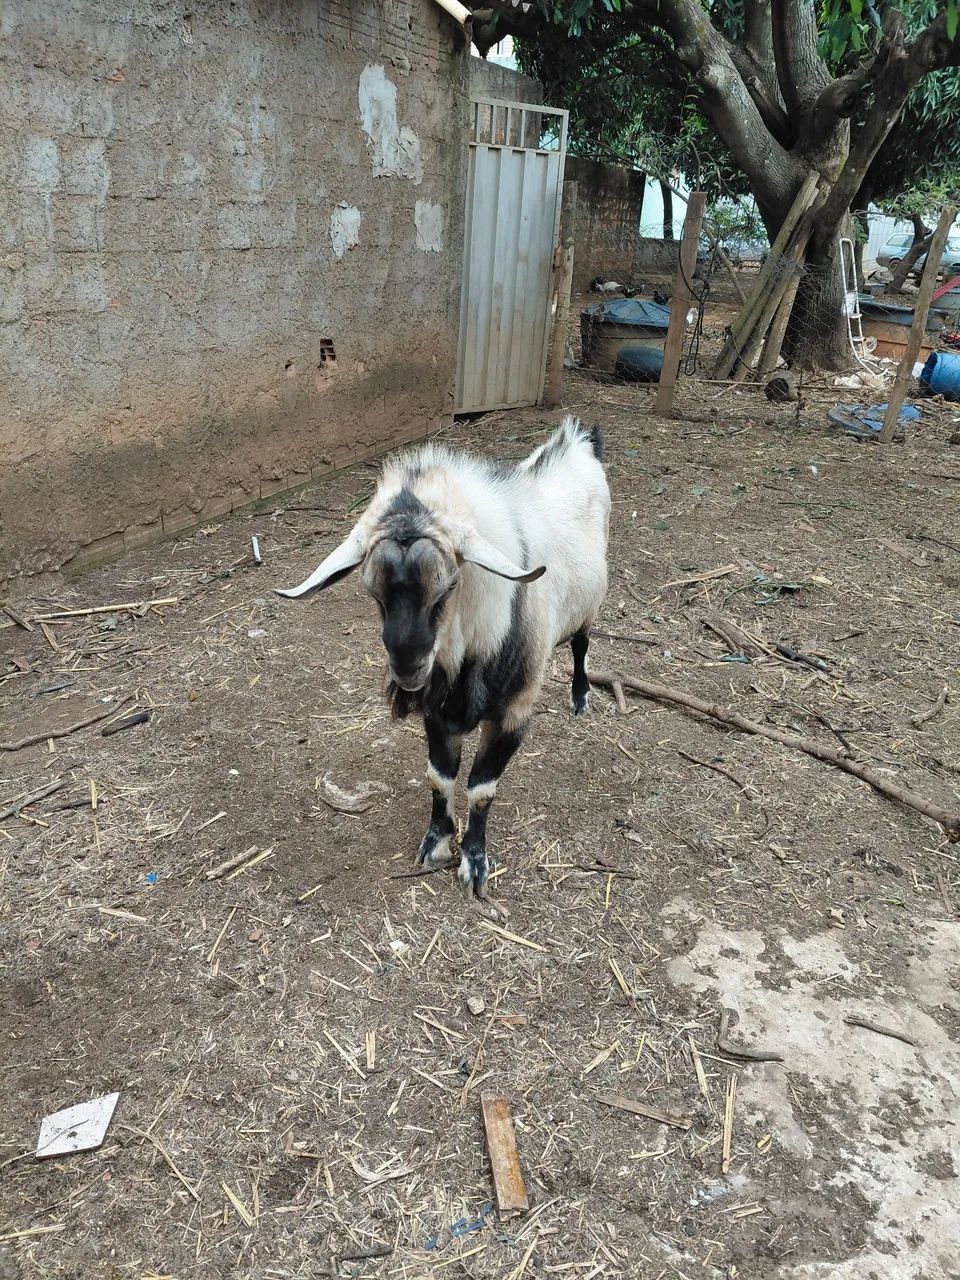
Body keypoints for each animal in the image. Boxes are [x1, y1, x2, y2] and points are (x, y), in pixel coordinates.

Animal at [277, 416, 610, 900]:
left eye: (449, 585)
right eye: (371, 592)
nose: (407, 668)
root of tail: (579, 440)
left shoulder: (513, 712)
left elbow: (482, 788)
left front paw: (474, 862)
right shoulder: (436, 713)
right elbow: (440, 777)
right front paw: (436, 843)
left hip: (590, 604)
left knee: (583, 644)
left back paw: (580, 697)